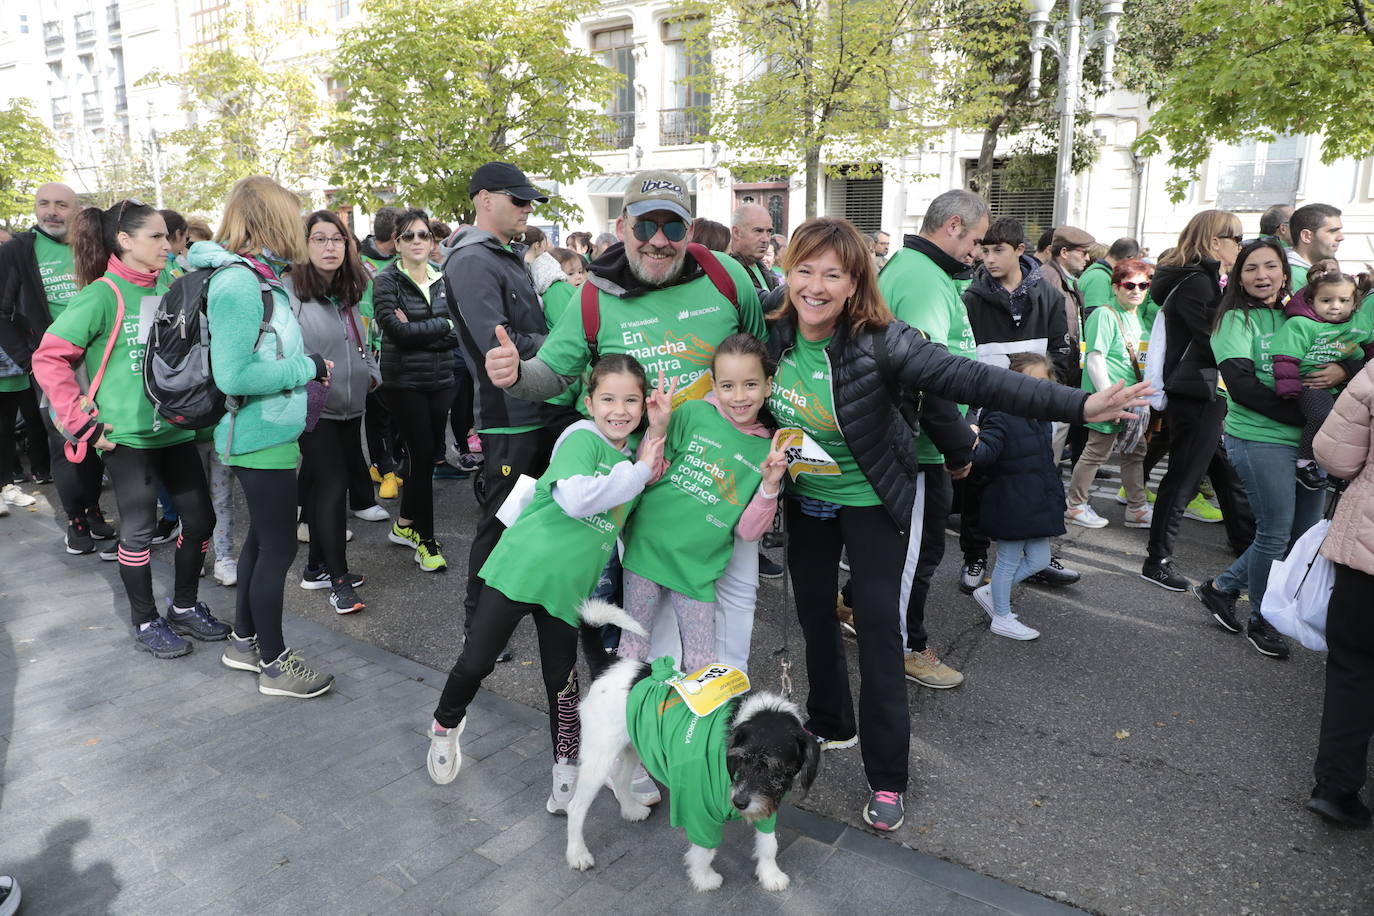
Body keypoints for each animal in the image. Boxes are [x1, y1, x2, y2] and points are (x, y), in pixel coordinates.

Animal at [566, 598, 818, 889]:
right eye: (741, 758)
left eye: (774, 768)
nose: (739, 803)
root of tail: (609, 665)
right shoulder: (700, 806)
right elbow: (705, 848)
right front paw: (704, 878)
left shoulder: (767, 803)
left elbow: (768, 843)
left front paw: (770, 875)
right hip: (599, 757)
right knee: (576, 807)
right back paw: (577, 854)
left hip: (633, 746)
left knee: (619, 778)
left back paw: (631, 810)